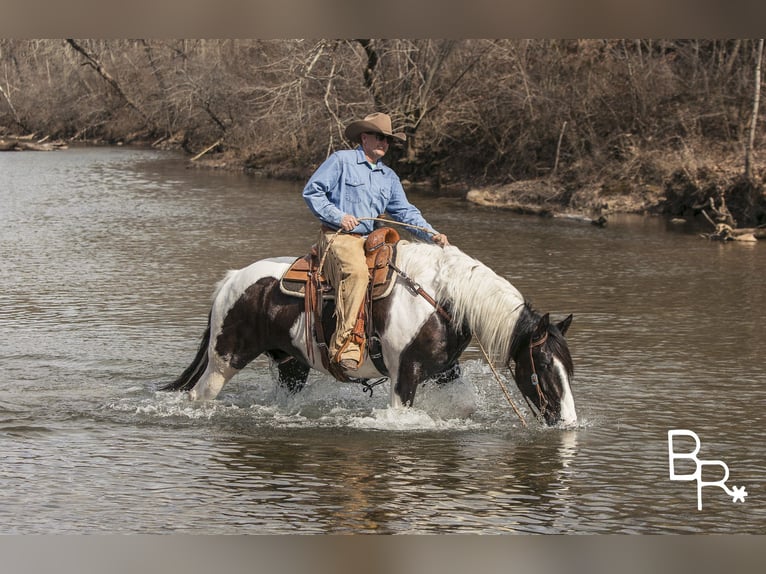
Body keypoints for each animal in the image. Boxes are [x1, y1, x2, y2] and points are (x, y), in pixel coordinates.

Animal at [165, 240, 580, 428]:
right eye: (544, 364)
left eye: (568, 368)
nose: (568, 421)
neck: (443, 298)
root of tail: (232, 279)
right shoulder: (405, 375)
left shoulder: (445, 371)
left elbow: (464, 406)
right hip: (224, 361)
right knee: (200, 395)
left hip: (291, 368)